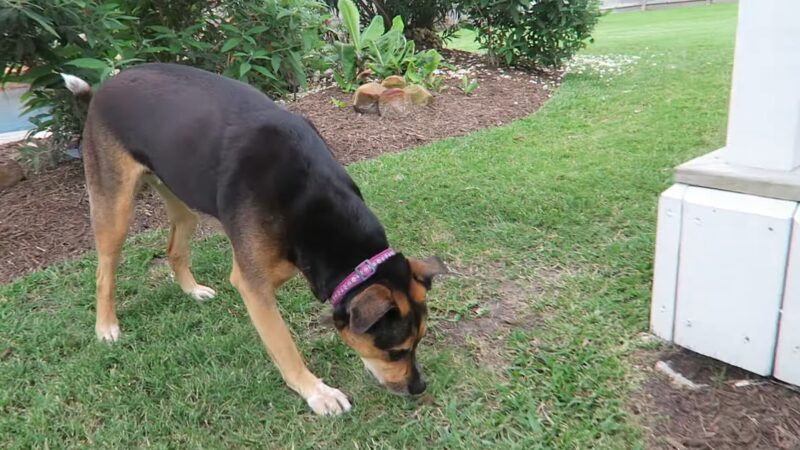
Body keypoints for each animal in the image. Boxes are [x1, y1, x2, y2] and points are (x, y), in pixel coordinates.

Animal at [62, 63, 446, 414]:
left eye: (420, 340)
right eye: (394, 351)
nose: (419, 388)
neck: (310, 201)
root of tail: (103, 89)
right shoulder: (253, 286)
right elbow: (284, 346)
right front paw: (315, 391)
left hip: (182, 196)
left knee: (174, 248)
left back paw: (191, 289)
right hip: (115, 207)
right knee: (105, 271)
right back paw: (106, 326)